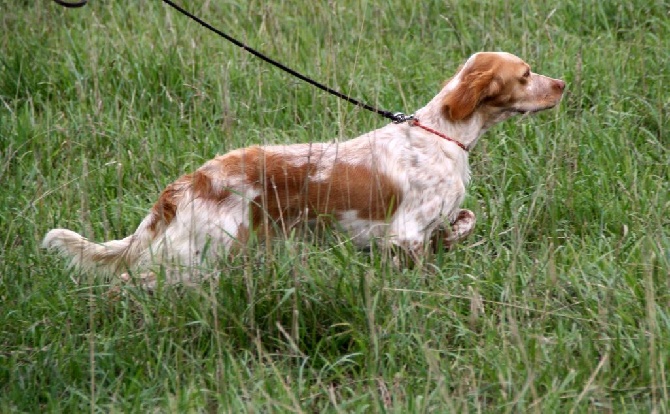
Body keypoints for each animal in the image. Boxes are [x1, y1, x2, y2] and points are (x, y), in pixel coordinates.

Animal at [43, 51, 568, 284]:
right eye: (526, 75)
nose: (563, 83)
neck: (444, 134)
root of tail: (193, 178)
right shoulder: (405, 234)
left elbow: (465, 220)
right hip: (202, 251)